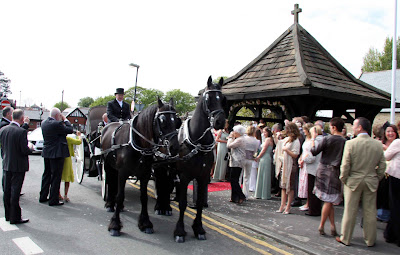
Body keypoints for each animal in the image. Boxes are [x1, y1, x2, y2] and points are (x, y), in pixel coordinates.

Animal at [101, 96, 180, 236]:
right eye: (162, 120)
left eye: (176, 120)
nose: (174, 148)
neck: (137, 144)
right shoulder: (122, 173)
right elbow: (120, 196)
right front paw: (115, 225)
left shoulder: (145, 174)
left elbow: (143, 198)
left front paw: (145, 223)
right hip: (108, 165)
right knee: (110, 181)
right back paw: (110, 204)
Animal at [155, 76, 227, 243]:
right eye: (208, 98)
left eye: (222, 98)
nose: (220, 122)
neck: (197, 143)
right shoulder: (185, 176)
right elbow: (183, 203)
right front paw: (180, 231)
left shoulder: (203, 176)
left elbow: (199, 203)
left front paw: (199, 228)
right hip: (160, 167)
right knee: (160, 184)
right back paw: (159, 206)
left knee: (167, 185)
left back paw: (166, 207)